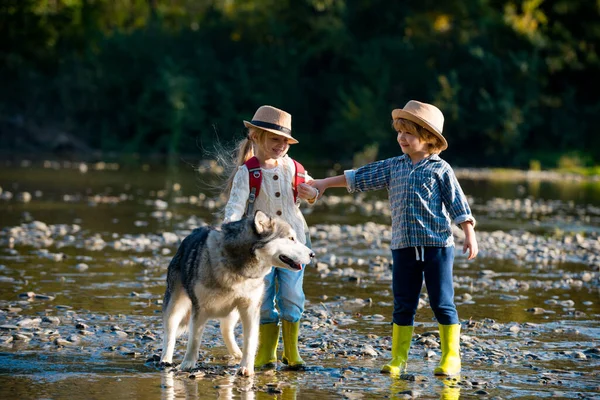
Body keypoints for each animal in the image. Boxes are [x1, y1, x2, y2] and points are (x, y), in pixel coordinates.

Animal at [159, 211, 314, 376]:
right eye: (291, 238)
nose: (312, 254)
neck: (239, 271)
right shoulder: (199, 309)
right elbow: (194, 340)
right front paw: (187, 364)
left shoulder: (250, 308)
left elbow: (250, 340)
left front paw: (247, 367)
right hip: (175, 305)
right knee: (169, 333)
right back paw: (165, 359)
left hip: (233, 311)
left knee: (225, 329)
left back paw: (236, 353)